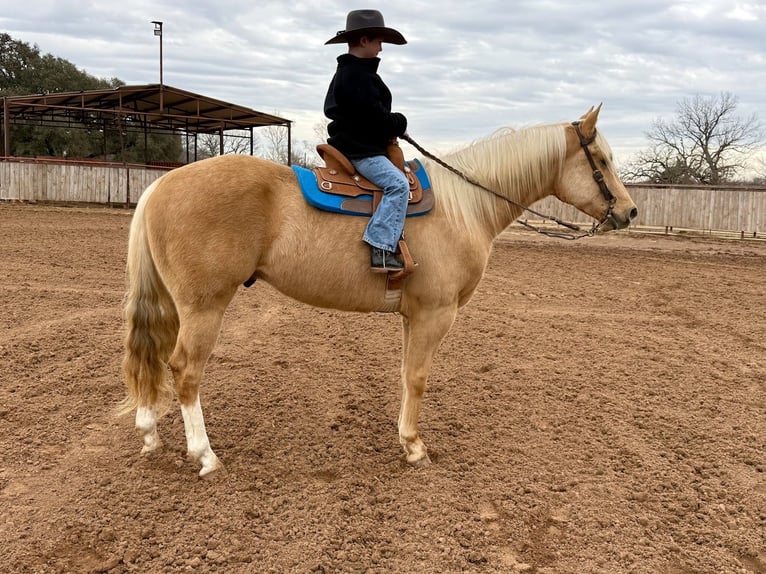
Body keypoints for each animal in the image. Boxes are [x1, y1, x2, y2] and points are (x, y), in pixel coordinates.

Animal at [120, 105, 637, 478]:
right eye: (602, 161)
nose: (630, 211)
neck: (465, 206)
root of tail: (161, 185)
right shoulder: (435, 314)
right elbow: (418, 377)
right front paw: (414, 447)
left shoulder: (415, 316)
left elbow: (406, 374)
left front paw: (403, 434)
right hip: (204, 307)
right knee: (185, 371)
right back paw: (205, 456)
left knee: (152, 358)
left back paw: (149, 433)